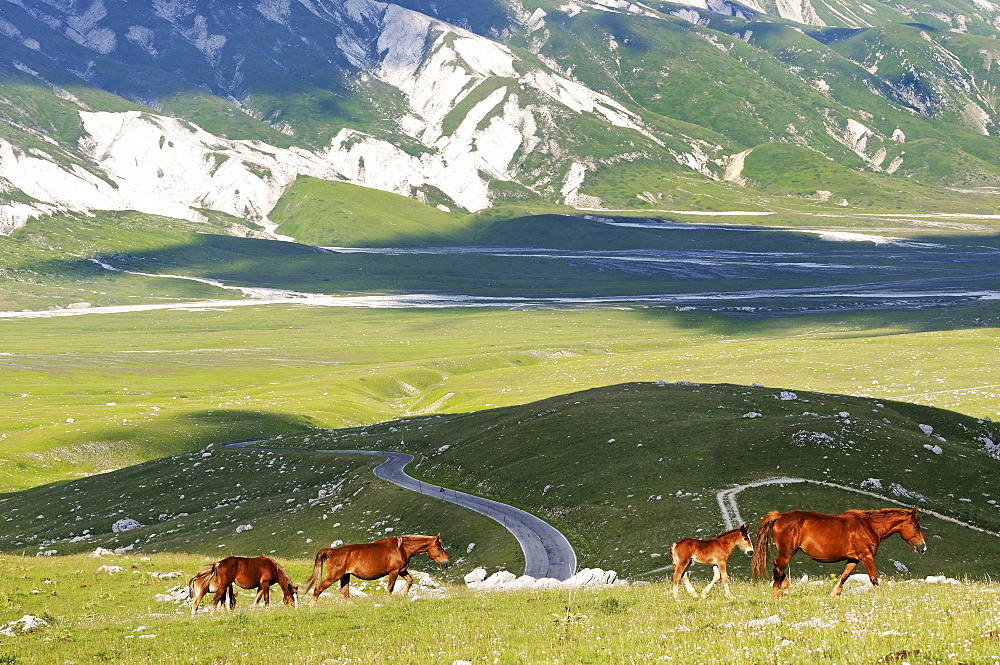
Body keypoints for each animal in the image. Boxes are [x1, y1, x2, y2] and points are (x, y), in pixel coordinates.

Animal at [300, 532, 450, 600]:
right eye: (439, 548)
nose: (446, 563)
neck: (401, 548)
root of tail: (333, 551)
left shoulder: (402, 570)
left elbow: (410, 580)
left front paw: (403, 593)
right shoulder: (394, 571)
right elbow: (390, 588)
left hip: (345, 576)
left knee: (344, 591)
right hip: (334, 576)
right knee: (318, 589)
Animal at [752, 504, 928, 596]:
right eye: (916, 526)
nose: (923, 547)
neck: (868, 527)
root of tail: (780, 516)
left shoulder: (854, 558)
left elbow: (844, 576)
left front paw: (834, 594)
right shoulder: (866, 556)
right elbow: (874, 579)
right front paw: (881, 597)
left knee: (778, 567)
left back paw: (784, 586)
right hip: (787, 552)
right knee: (778, 568)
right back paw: (777, 592)